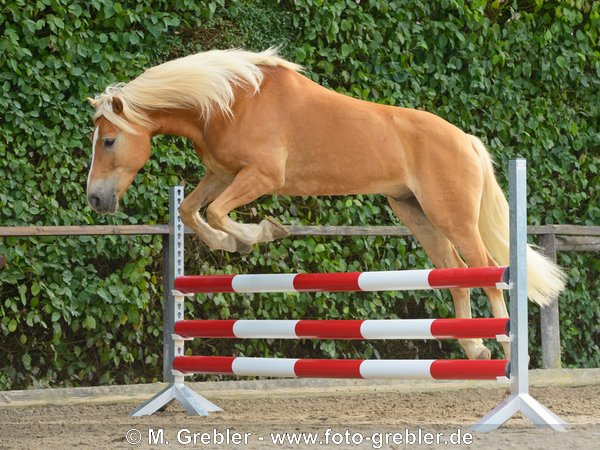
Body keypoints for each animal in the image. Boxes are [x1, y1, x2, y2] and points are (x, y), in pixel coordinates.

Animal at [86, 47, 564, 360]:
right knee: (456, 273)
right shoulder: (222, 174)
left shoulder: (260, 177)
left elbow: (219, 213)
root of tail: (466, 139)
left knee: (488, 269)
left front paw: (260, 233)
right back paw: (472, 346)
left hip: (453, 216)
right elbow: (191, 211)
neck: (228, 101)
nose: (96, 198)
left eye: (108, 141)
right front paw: (234, 243)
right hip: (416, 212)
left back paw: (504, 346)